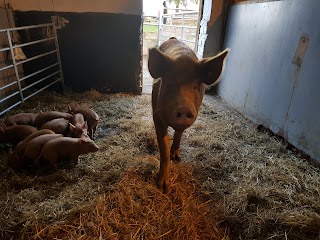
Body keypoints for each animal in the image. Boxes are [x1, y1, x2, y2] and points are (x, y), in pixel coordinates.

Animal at [149, 37, 229, 192]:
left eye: (195, 86)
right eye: (169, 84)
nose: (184, 108)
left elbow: (179, 134)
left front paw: (177, 158)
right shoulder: (157, 114)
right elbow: (164, 148)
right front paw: (163, 187)